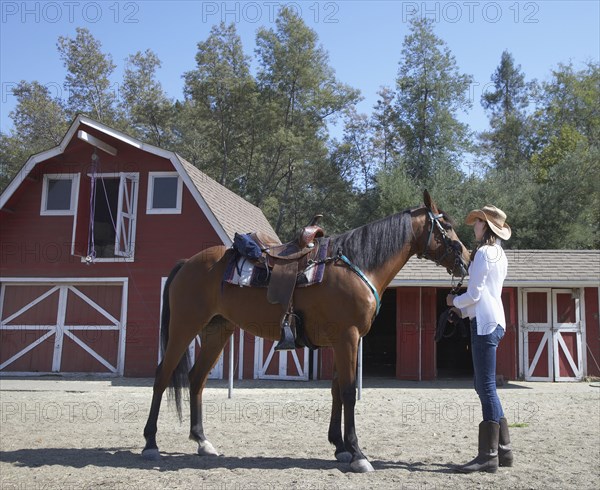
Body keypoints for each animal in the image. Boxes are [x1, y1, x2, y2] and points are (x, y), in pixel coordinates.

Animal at [143, 190, 472, 470]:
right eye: (447, 226)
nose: (467, 257)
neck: (358, 266)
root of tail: (187, 263)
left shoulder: (343, 341)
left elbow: (337, 390)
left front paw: (340, 447)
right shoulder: (347, 337)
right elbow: (349, 392)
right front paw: (358, 454)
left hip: (217, 331)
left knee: (196, 379)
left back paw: (202, 441)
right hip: (184, 327)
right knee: (162, 376)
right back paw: (150, 443)